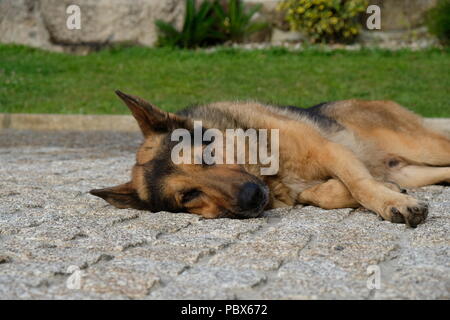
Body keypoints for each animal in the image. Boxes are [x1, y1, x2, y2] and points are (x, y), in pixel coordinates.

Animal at [90, 91, 450, 228]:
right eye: (189, 196)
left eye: (208, 155)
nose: (252, 196)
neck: (270, 171)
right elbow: (322, 194)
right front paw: (389, 192)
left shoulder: (329, 151)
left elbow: (360, 184)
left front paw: (392, 203)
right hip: (413, 170)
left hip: (423, 147)